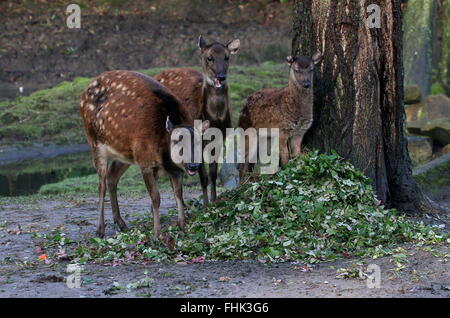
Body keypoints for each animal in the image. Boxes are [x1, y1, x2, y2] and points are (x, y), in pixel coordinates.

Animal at [79, 70, 209, 238]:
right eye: (176, 140)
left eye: (199, 142)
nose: (193, 165)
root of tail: (83, 94)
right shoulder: (145, 162)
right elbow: (156, 197)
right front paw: (156, 233)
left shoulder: (173, 169)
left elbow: (179, 194)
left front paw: (182, 227)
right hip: (94, 142)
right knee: (101, 184)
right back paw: (100, 229)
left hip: (126, 154)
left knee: (111, 176)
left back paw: (121, 223)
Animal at [154, 36, 241, 206]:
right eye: (209, 57)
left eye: (227, 57)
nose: (221, 77)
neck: (212, 119)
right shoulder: (197, 139)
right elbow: (203, 176)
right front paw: (205, 204)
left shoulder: (220, 139)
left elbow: (213, 174)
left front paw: (215, 200)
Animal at [237, 52, 322, 181]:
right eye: (296, 70)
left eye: (311, 69)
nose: (307, 84)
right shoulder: (281, 130)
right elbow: (285, 156)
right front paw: (286, 173)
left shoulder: (300, 132)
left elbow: (297, 154)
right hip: (247, 131)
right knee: (243, 162)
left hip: (264, 137)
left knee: (252, 161)